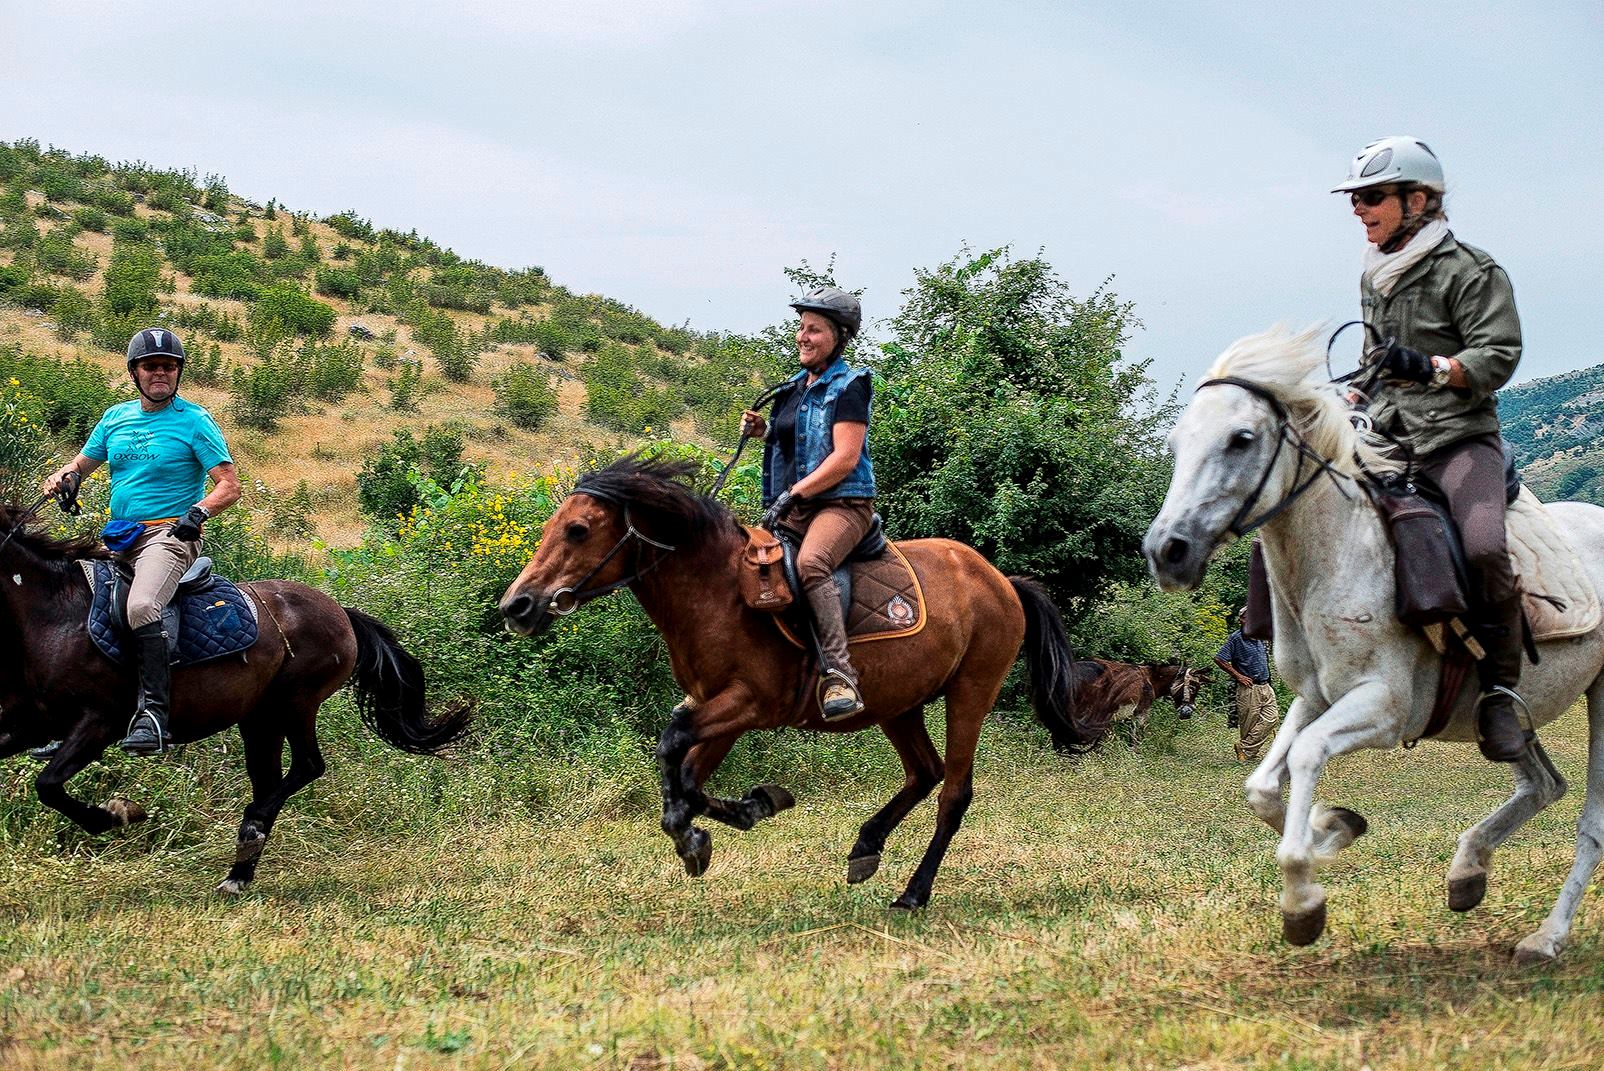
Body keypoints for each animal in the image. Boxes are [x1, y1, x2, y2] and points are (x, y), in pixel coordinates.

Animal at [0, 504, 471, 894]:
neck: (57, 615)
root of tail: (340, 611)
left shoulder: (99, 722)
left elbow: (48, 785)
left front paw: (116, 814)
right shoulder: (32, 723)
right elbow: (42, 777)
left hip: (295, 702)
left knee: (306, 767)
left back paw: (250, 829)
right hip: (259, 717)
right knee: (271, 777)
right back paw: (240, 870)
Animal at [498, 457, 1108, 909]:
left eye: (578, 530)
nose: (516, 606)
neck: (717, 591)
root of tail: (1001, 581)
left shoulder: (749, 702)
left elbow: (673, 747)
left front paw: (719, 822)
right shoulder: (716, 706)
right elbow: (686, 772)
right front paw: (726, 819)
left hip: (970, 693)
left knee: (953, 792)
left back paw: (913, 893)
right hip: (898, 703)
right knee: (924, 772)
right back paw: (866, 846)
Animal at [1143, 324, 1604, 962]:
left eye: (1241, 439)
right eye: (1177, 442)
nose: (1167, 550)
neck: (1339, 554)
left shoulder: (1384, 708)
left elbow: (1307, 755)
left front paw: (1303, 896)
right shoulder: (1314, 697)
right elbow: (1261, 787)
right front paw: (1334, 827)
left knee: (1590, 822)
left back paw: (1547, 936)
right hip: (1510, 712)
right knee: (1543, 784)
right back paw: (1468, 871)